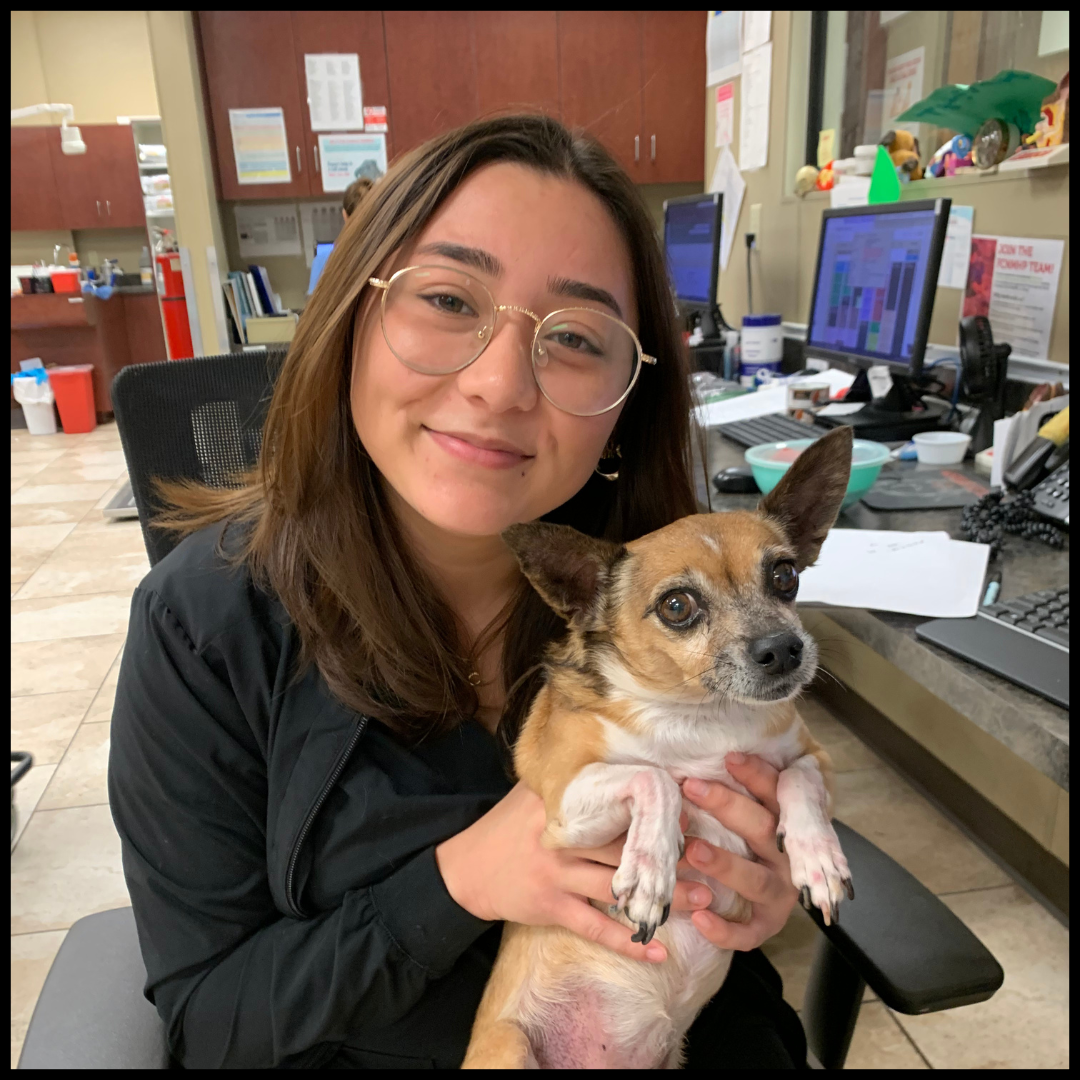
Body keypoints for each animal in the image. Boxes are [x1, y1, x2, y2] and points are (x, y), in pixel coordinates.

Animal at [462, 425, 855, 1069]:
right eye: (677, 607)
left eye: (785, 576)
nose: (783, 648)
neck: (704, 716)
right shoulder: (565, 808)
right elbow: (658, 778)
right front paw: (650, 871)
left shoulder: (816, 757)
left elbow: (797, 779)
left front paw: (819, 861)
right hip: (510, 1048)